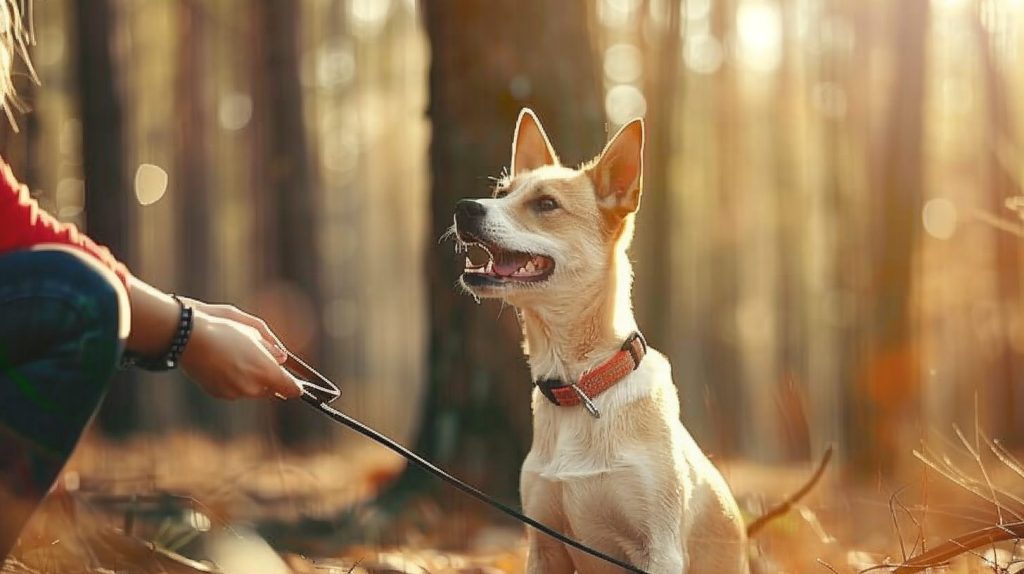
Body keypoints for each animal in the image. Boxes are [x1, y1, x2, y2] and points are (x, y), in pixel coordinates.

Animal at [452, 108, 749, 572]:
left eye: (546, 204)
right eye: (501, 192)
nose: (463, 208)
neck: (581, 384)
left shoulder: (660, 549)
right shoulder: (544, 546)